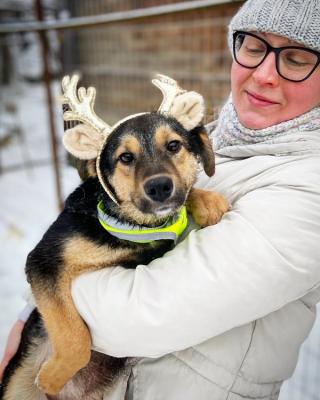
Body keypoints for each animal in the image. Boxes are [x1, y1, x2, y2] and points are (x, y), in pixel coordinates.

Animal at [1, 73, 229, 398]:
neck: (134, 229)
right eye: (125, 157)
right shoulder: (44, 260)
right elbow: (74, 336)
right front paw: (52, 377)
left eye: (174, 145)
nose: (159, 187)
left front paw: (207, 201)